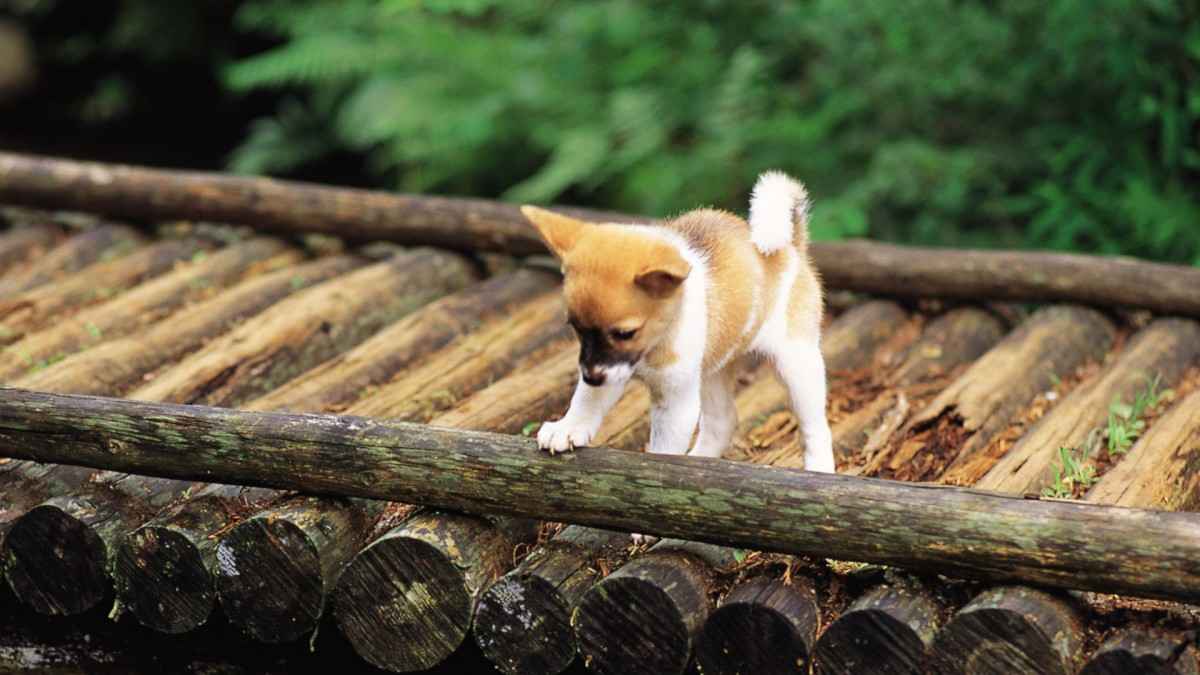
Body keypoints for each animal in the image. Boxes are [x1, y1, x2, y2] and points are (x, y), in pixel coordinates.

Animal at [520, 170, 840, 470]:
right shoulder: (609, 370)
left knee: (815, 428)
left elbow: (663, 451)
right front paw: (568, 428)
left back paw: (819, 469)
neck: (653, 347)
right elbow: (586, 400)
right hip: (713, 369)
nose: (590, 377)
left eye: (625, 333)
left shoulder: (674, 402)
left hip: (797, 368)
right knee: (723, 421)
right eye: (576, 328)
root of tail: (792, 249)